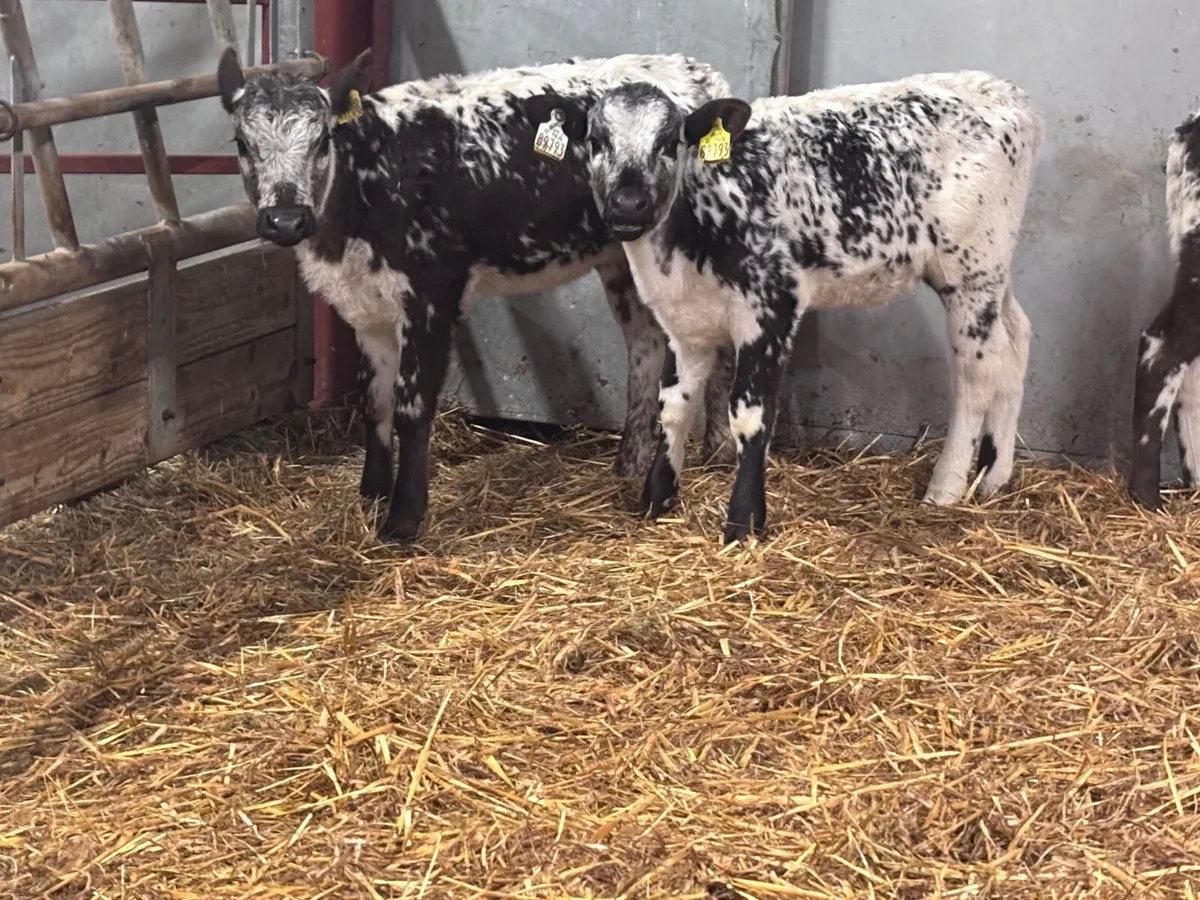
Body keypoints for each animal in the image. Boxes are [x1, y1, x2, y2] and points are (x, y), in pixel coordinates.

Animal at [215, 48, 736, 542]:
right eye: (242, 144)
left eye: (323, 140)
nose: (286, 220)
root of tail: (698, 72)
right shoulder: (365, 306)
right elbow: (373, 399)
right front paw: (371, 493)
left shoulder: (430, 295)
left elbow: (411, 406)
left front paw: (403, 517)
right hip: (619, 255)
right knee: (645, 341)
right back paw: (629, 462)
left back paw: (719, 449)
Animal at [527, 71, 1043, 543]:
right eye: (596, 140)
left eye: (670, 143)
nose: (628, 204)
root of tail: (1006, 92)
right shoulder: (682, 320)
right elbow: (672, 406)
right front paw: (656, 499)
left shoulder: (771, 307)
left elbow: (749, 415)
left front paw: (743, 522)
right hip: (995, 272)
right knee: (1016, 338)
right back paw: (994, 476)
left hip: (971, 268)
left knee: (978, 370)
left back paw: (948, 485)